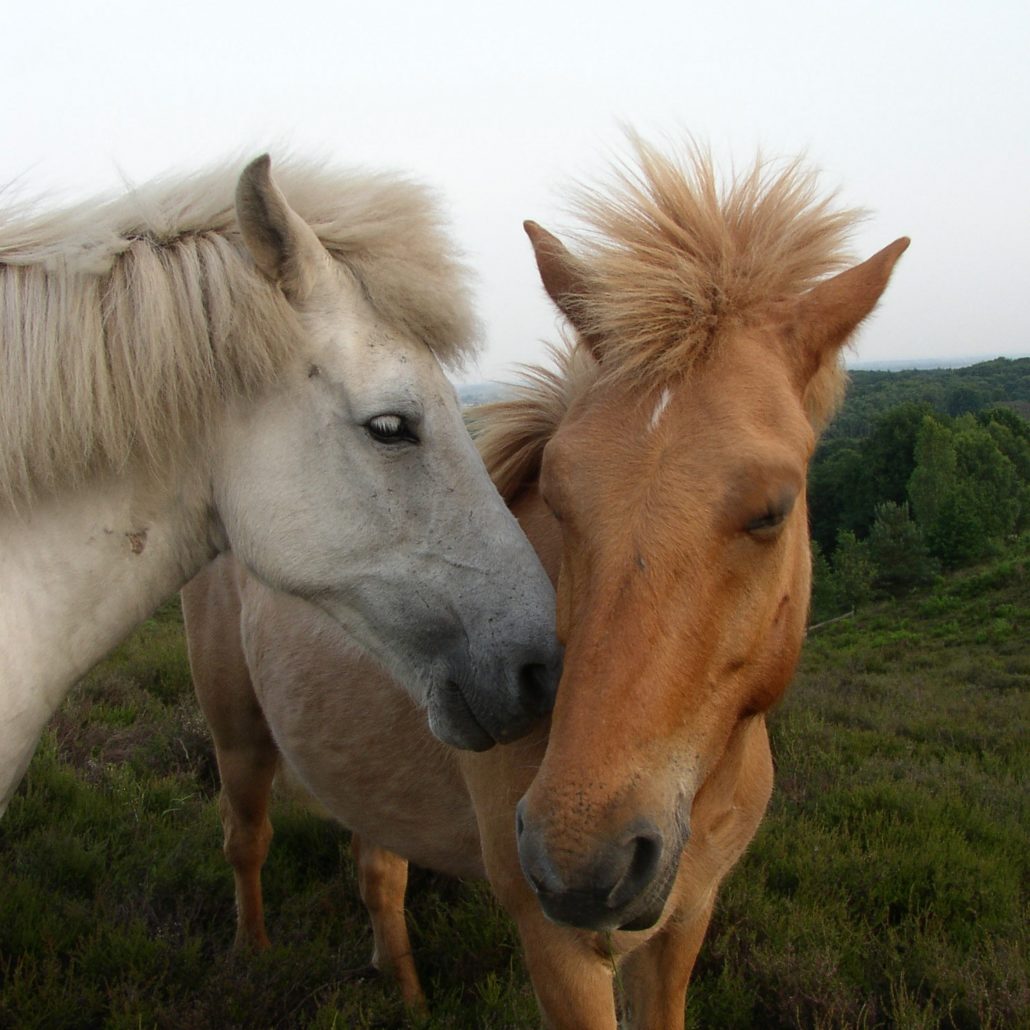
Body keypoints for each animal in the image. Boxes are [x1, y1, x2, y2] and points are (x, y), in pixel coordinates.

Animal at [181, 139, 906, 1030]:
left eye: (773, 508)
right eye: (557, 495)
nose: (581, 860)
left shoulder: (684, 921)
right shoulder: (558, 948)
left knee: (378, 873)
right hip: (239, 737)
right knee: (245, 841)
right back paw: (252, 958)